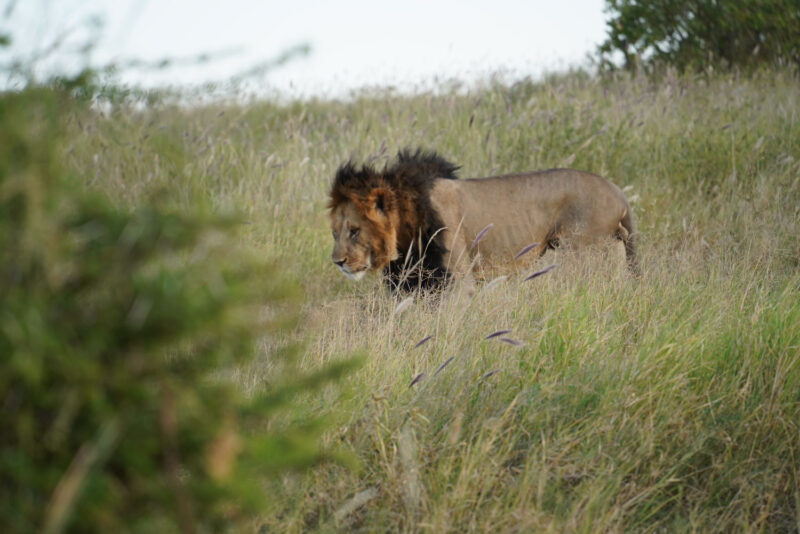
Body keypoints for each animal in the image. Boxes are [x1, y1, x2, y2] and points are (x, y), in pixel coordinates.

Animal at [326, 150, 636, 294]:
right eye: (335, 233)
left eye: (354, 231)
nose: (337, 262)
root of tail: (618, 193)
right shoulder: (412, 282)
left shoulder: (457, 277)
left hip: (584, 254)